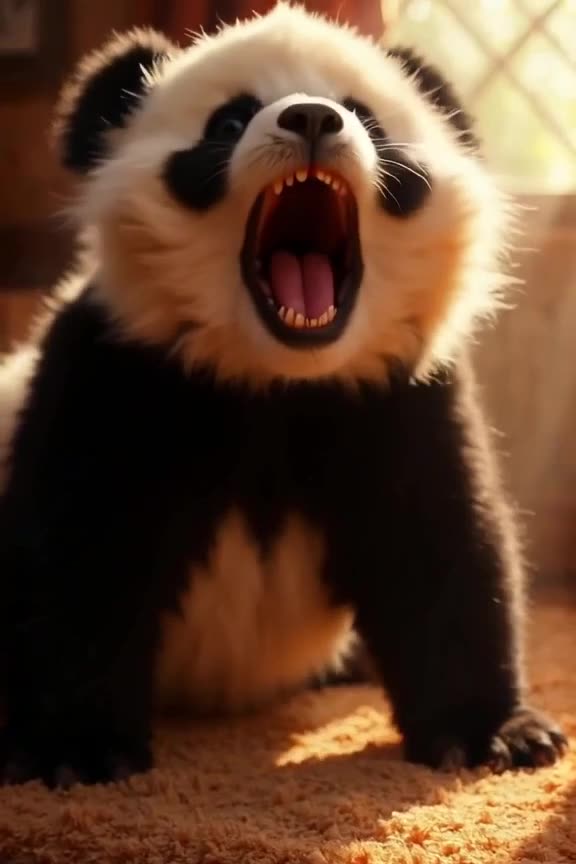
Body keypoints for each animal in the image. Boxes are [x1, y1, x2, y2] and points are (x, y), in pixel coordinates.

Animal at [0, 2, 566, 788]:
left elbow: (441, 542)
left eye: (365, 115)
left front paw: (492, 735)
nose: (313, 119)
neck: (276, 375)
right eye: (231, 120)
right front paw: (76, 751)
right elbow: (80, 549)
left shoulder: (393, 393)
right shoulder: (120, 366)